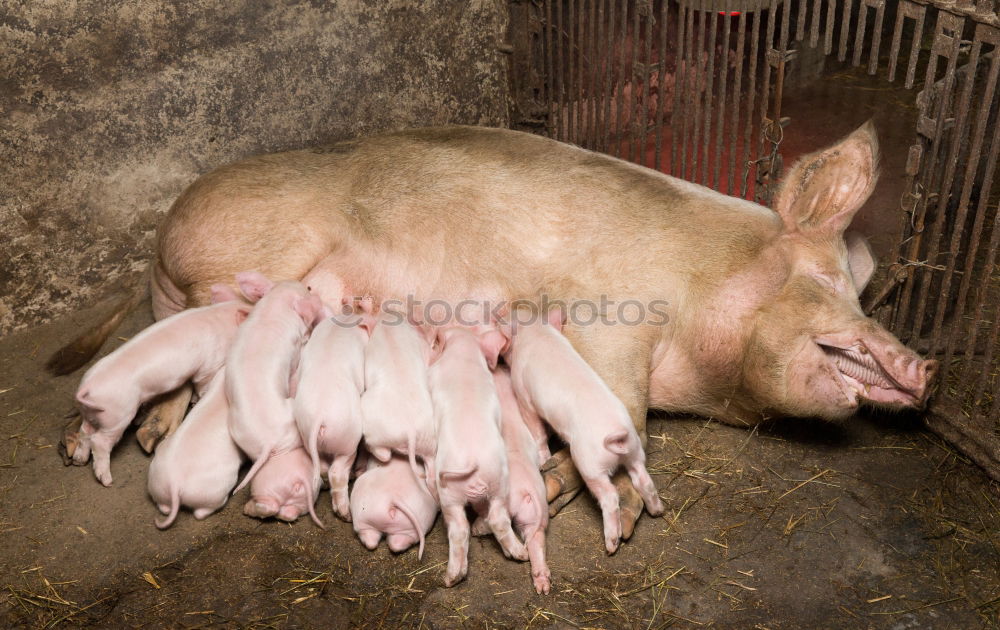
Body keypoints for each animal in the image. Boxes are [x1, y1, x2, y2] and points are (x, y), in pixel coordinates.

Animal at [72, 288, 248, 488]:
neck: (221, 318)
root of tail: (85, 389)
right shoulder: (209, 364)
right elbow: (202, 382)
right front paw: (200, 397)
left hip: (91, 415)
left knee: (84, 433)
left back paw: (78, 460)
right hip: (116, 416)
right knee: (99, 441)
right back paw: (107, 480)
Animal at [298, 304, 376, 520]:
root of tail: (319, 416)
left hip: (307, 436)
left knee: (323, 467)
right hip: (348, 439)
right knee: (337, 472)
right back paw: (346, 514)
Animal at [428, 328, 528, 592]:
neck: (464, 353)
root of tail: (472, 461)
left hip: (449, 494)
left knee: (458, 529)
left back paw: (449, 579)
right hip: (498, 483)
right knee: (497, 520)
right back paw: (520, 554)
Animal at [504, 308, 660, 556]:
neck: (537, 333)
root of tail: (619, 435)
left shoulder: (523, 392)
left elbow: (536, 430)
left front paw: (544, 458)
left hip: (590, 464)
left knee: (609, 496)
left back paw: (611, 544)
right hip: (635, 452)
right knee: (643, 480)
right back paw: (657, 511)